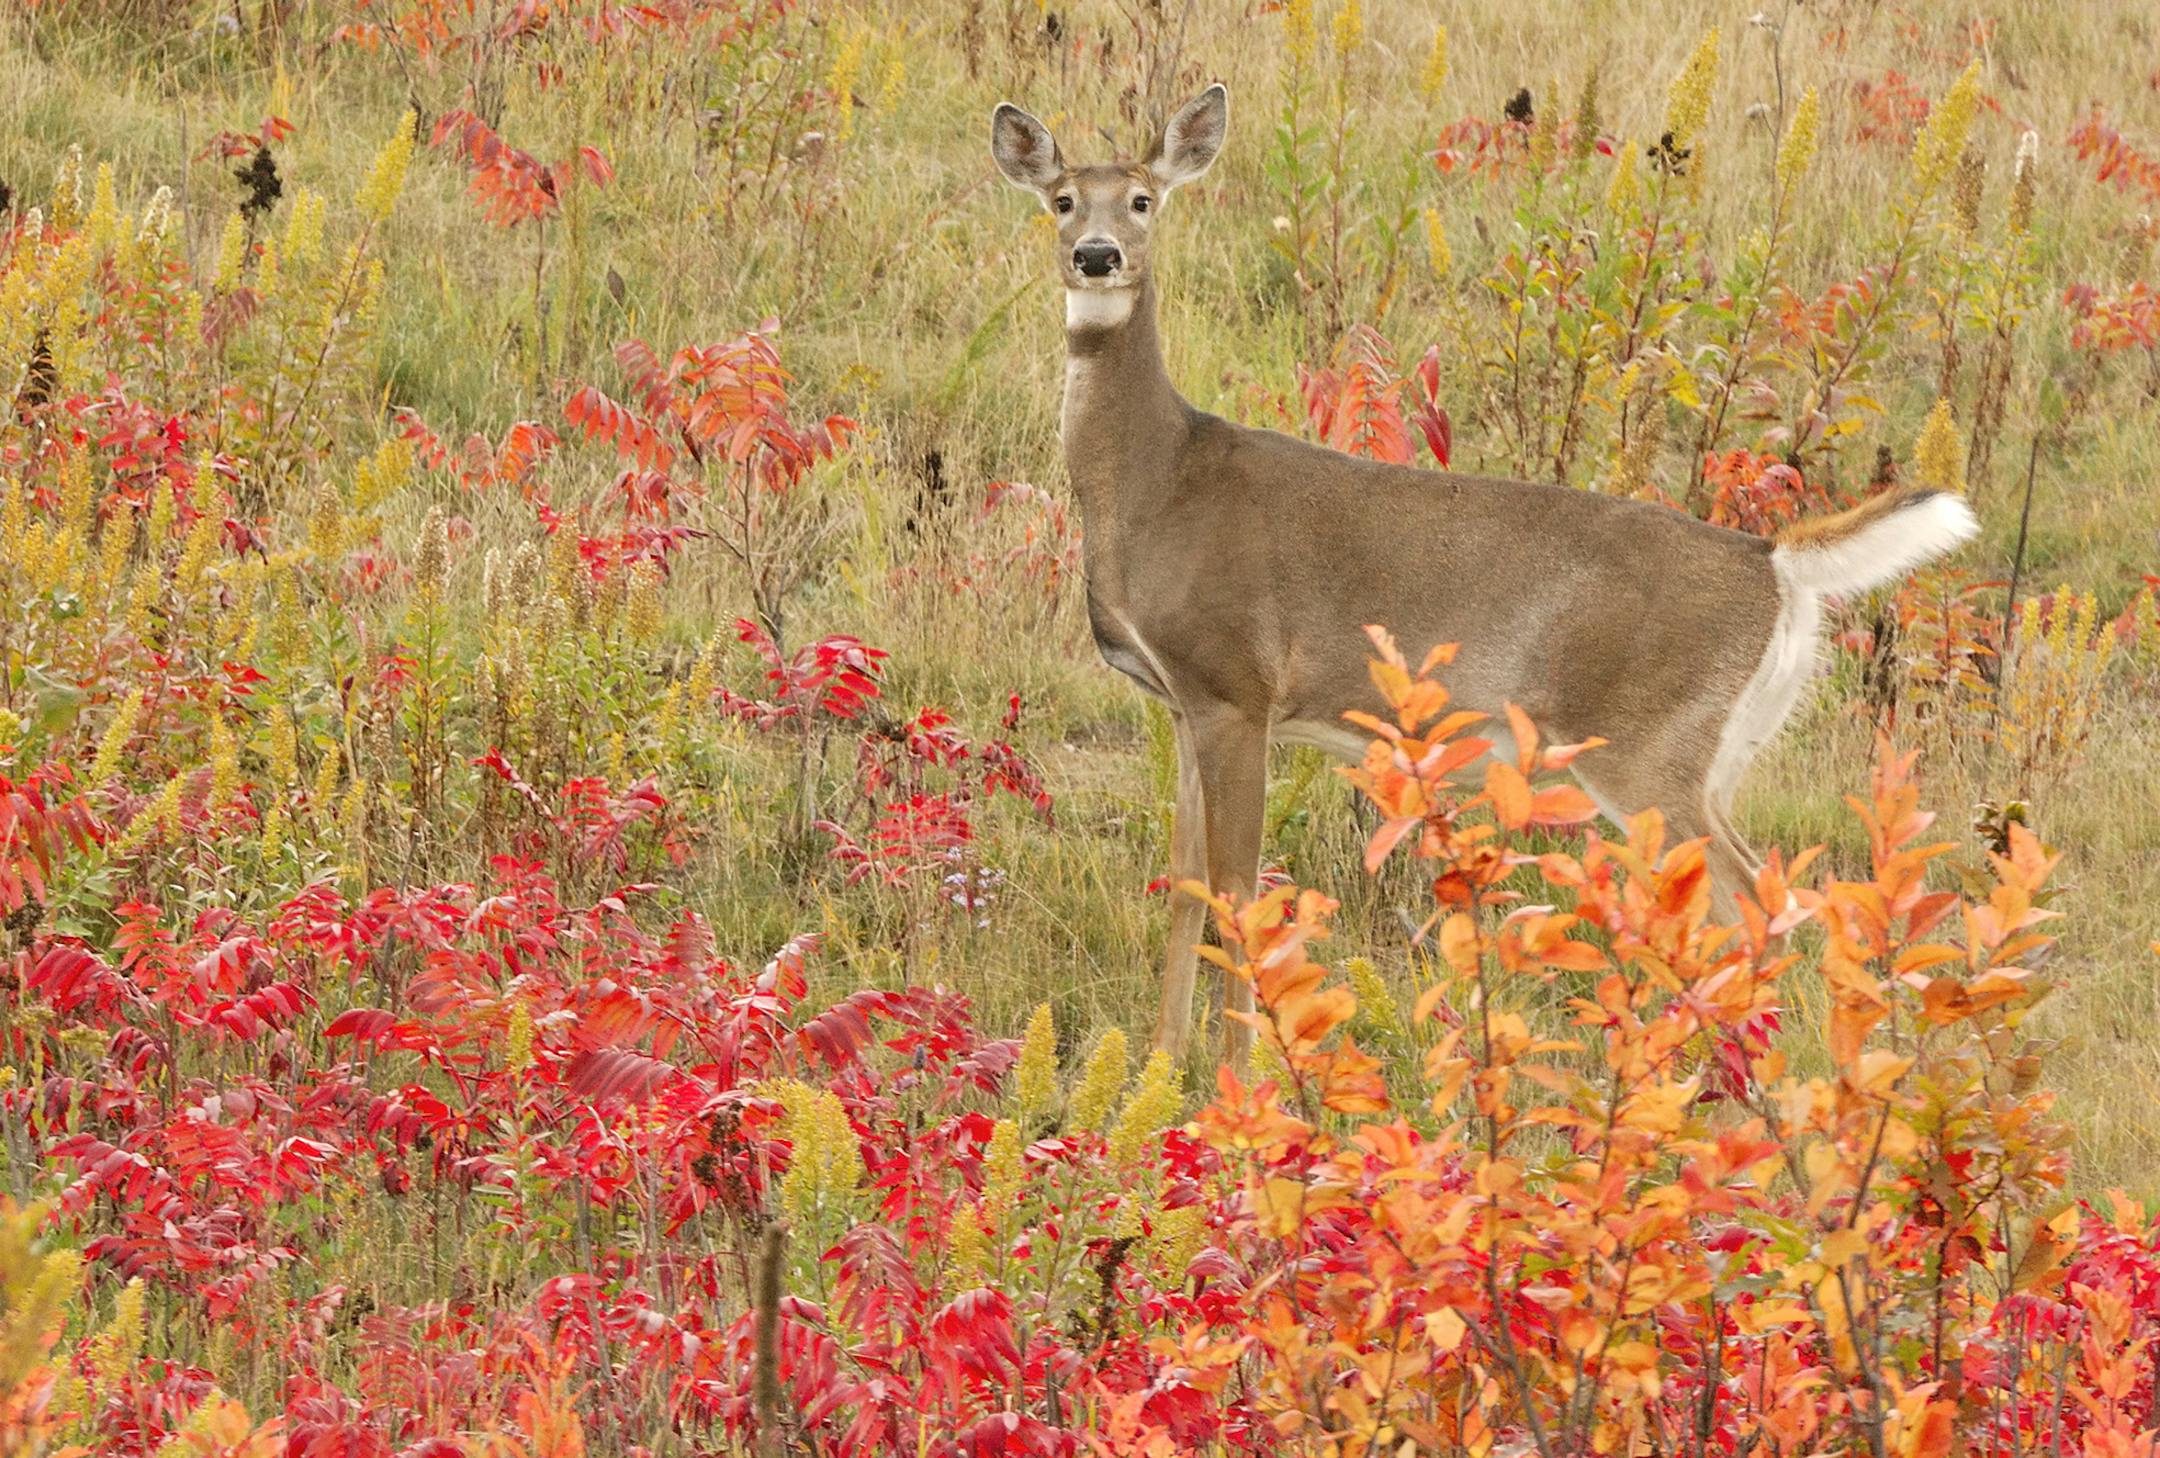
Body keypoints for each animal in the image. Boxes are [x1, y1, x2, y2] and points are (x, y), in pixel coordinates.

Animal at [989, 84, 1980, 1067]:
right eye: (1063, 199)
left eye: (1143, 199)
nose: (1097, 255)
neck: (1158, 481)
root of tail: (1774, 561)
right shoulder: (1184, 702)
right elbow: (1188, 882)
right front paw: (1159, 1063)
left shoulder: (1235, 683)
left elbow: (1237, 893)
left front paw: (1242, 1080)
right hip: (1718, 756)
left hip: (1651, 749)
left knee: (1755, 905)